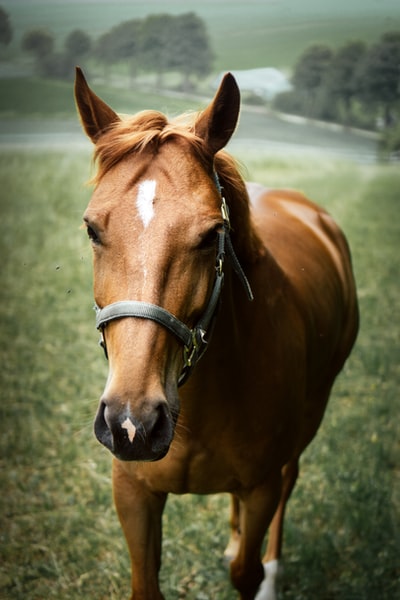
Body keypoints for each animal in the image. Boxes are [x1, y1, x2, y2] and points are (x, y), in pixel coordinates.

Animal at [73, 67, 358, 600]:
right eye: (91, 230)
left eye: (211, 236)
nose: (132, 424)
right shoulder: (133, 492)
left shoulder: (262, 486)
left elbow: (245, 572)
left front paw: (259, 572)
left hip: (311, 415)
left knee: (290, 480)